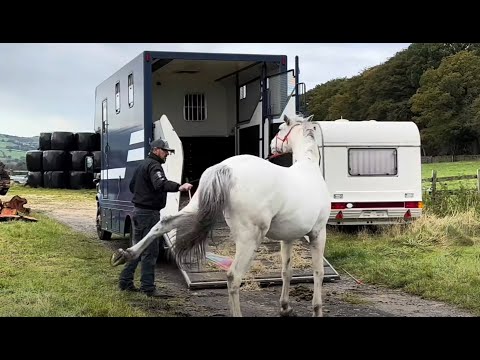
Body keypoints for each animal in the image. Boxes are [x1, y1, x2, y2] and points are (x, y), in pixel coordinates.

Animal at [111, 114, 332, 316]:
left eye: (279, 130)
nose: (271, 145)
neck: (309, 168)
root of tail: (225, 167)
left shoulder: (287, 239)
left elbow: (287, 271)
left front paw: (285, 307)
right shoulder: (318, 234)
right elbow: (318, 272)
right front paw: (317, 309)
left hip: (194, 209)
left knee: (163, 223)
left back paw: (126, 254)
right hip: (249, 239)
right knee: (233, 276)